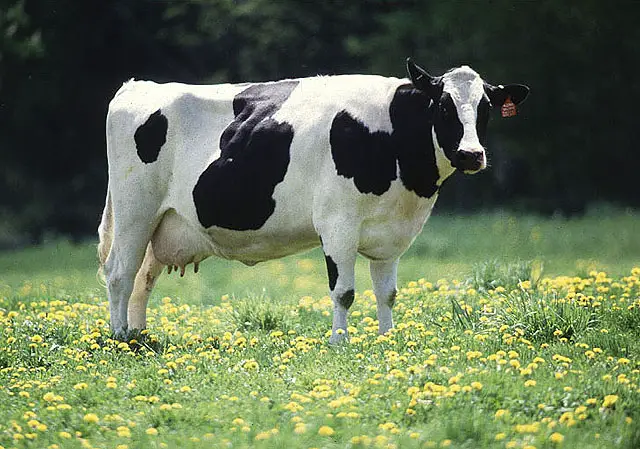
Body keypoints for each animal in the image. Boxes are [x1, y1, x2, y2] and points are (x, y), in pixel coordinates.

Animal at [98, 59, 529, 343]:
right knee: (120, 273)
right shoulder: (338, 224)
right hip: (135, 211)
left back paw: (139, 336)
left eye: (486, 108)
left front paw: (388, 340)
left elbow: (387, 292)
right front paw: (340, 343)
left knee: (143, 278)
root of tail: (139, 85)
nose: (471, 154)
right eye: (443, 105)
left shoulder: (391, 234)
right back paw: (120, 338)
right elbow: (344, 292)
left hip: (163, 223)